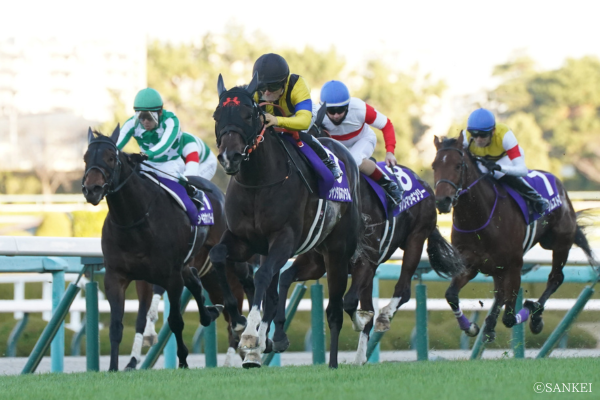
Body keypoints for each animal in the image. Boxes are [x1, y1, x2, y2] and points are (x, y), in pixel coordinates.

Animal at [83, 126, 224, 370]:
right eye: (85, 157)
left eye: (110, 158)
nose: (92, 189)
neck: (135, 219)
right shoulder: (115, 276)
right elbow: (116, 326)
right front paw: (112, 368)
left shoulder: (170, 277)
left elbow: (175, 321)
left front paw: (183, 361)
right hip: (185, 263)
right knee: (195, 280)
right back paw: (210, 313)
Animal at [209, 73, 364, 368]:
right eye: (216, 115)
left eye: (248, 115)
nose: (229, 157)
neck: (257, 183)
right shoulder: (242, 240)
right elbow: (218, 256)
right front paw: (239, 320)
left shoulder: (284, 239)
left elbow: (263, 277)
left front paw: (251, 334)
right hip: (312, 254)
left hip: (337, 252)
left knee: (335, 310)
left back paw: (334, 361)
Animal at [270, 108, 466, 364]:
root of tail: (424, 183)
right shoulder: (319, 262)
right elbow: (286, 278)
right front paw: (278, 337)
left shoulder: (366, 260)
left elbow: (351, 303)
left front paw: (360, 321)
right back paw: (360, 356)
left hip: (415, 239)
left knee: (402, 290)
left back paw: (383, 318)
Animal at [432, 134, 596, 340]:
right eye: (434, 166)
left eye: (458, 165)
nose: (442, 201)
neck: (480, 218)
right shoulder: (470, 263)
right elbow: (451, 295)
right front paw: (470, 327)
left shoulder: (514, 265)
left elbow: (510, 317)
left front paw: (531, 310)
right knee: (500, 292)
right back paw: (490, 326)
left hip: (559, 244)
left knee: (555, 278)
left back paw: (535, 315)